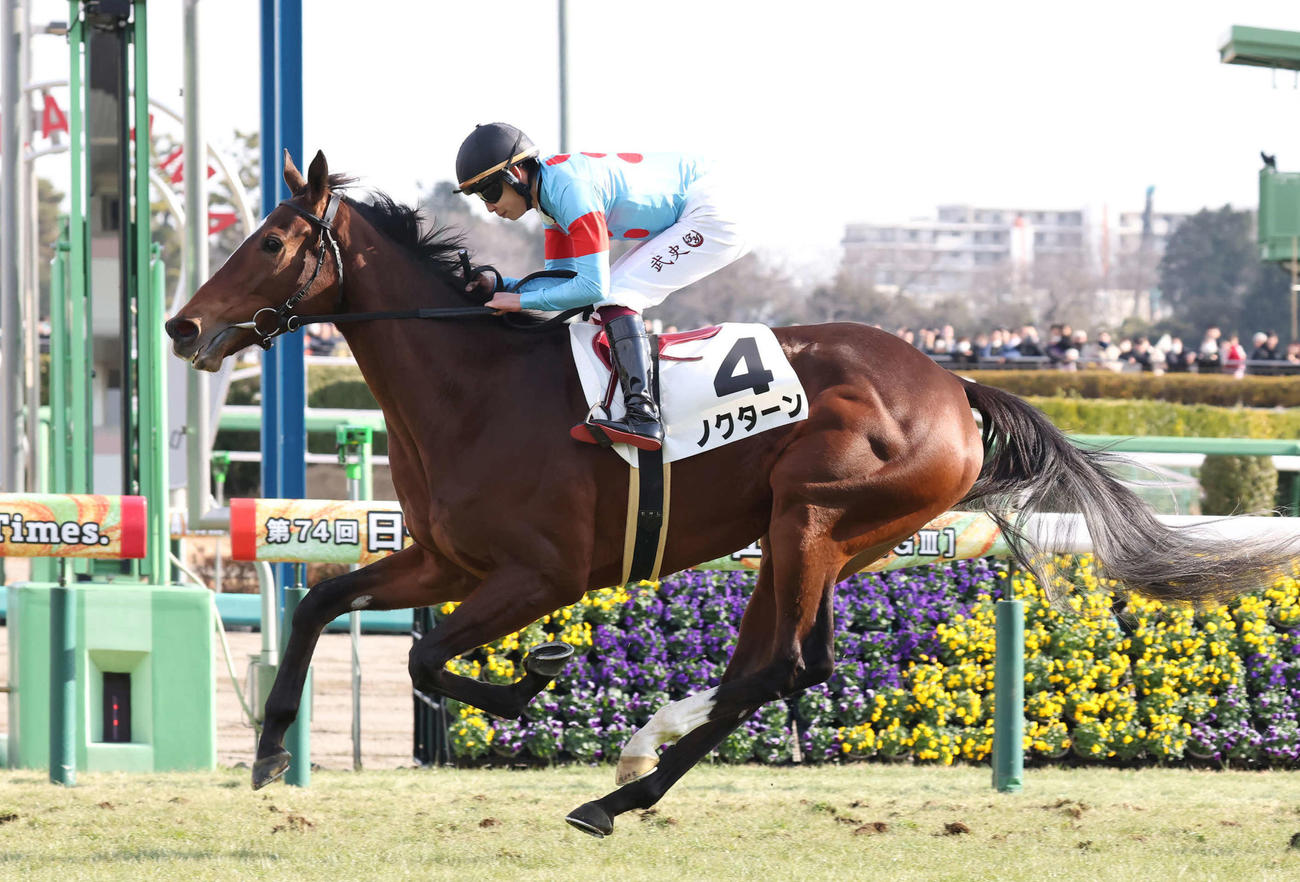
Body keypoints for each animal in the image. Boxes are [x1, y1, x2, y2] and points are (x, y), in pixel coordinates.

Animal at [166, 151, 1296, 837]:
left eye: (271, 242)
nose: (181, 327)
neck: (474, 386)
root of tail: (954, 385)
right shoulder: (447, 555)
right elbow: (321, 599)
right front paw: (266, 750)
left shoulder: (541, 573)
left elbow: (431, 658)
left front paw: (535, 677)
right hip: (823, 538)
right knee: (786, 666)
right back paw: (637, 765)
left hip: (813, 517)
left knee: (777, 668)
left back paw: (618, 792)